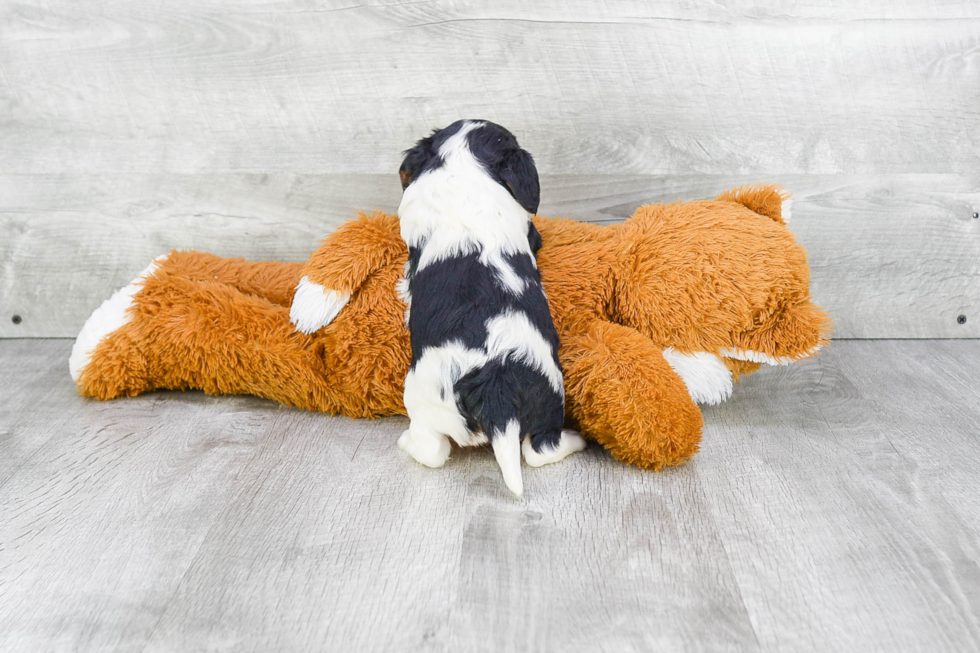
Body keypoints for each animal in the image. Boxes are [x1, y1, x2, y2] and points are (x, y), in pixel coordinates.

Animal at [396, 119, 584, 494]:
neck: (462, 163)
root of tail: (497, 387)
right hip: (547, 399)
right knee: (541, 448)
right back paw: (576, 440)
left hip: (423, 399)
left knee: (432, 450)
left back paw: (406, 442)